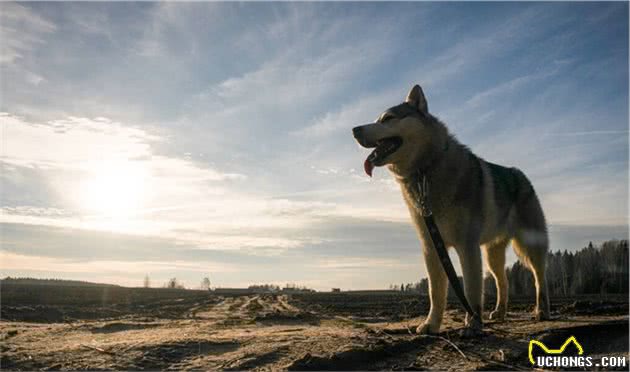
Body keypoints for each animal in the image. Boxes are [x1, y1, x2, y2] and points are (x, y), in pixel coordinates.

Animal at [354, 85, 552, 336]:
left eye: (387, 118)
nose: (354, 130)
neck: (426, 170)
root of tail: (522, 175)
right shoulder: (432, 248)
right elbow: (436, 292)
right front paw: (431, 325)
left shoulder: (467, 246)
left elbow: (471, 289)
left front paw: (473, 324)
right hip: (492, 255)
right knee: (503, 280)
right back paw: (499, 313)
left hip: (530, 245)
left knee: (539, 277)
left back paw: (542, 311)